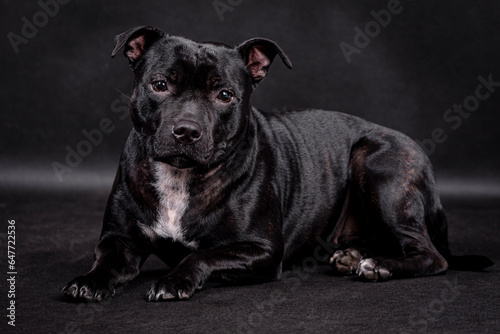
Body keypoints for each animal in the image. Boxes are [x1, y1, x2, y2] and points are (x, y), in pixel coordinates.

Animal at [61, 26, 492, 302]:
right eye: (159, 84)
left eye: (224, 95)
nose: (186, 130)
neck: (180, 176)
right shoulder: (120, 239)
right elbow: (108, 259)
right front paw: (90, 280)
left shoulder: (262, 251)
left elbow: (202, 254)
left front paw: (174, 279)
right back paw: (354, 256)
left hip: (375, 165)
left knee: (431, 255)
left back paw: (379, 265)